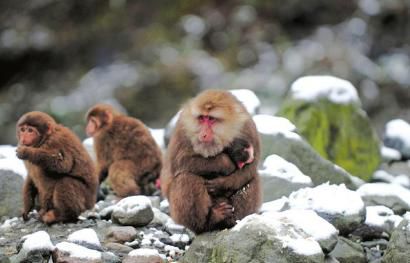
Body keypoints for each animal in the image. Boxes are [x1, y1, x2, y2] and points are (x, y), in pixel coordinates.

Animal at [163, 89, 262, 234]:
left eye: (211, 119)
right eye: (201, 118)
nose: (203, 134)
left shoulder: (248, 127)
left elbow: (250, 169)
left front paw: (221, 184)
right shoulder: (183, 127)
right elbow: (179, 162)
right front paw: (226, 163)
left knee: (252, 179)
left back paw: (234, 221)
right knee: (187, 177)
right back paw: (209, 222)